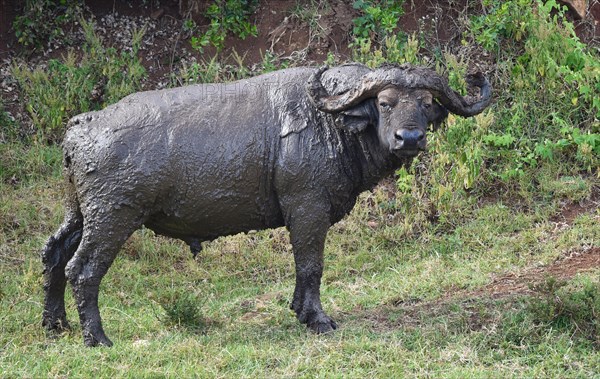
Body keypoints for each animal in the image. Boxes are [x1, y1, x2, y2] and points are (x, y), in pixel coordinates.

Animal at [43, 63, 492, 348]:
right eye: (385, 102)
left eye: (427, 103)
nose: (410, 138)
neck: (330, 121)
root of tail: (82, 126)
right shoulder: (308, 209)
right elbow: (311, 264)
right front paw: (318, 319)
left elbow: (302, 269)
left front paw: (298, 310)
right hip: (113, 217)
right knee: (82, 269)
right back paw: (97, 338)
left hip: (79, 214)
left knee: (53, 254)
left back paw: (55, 325)